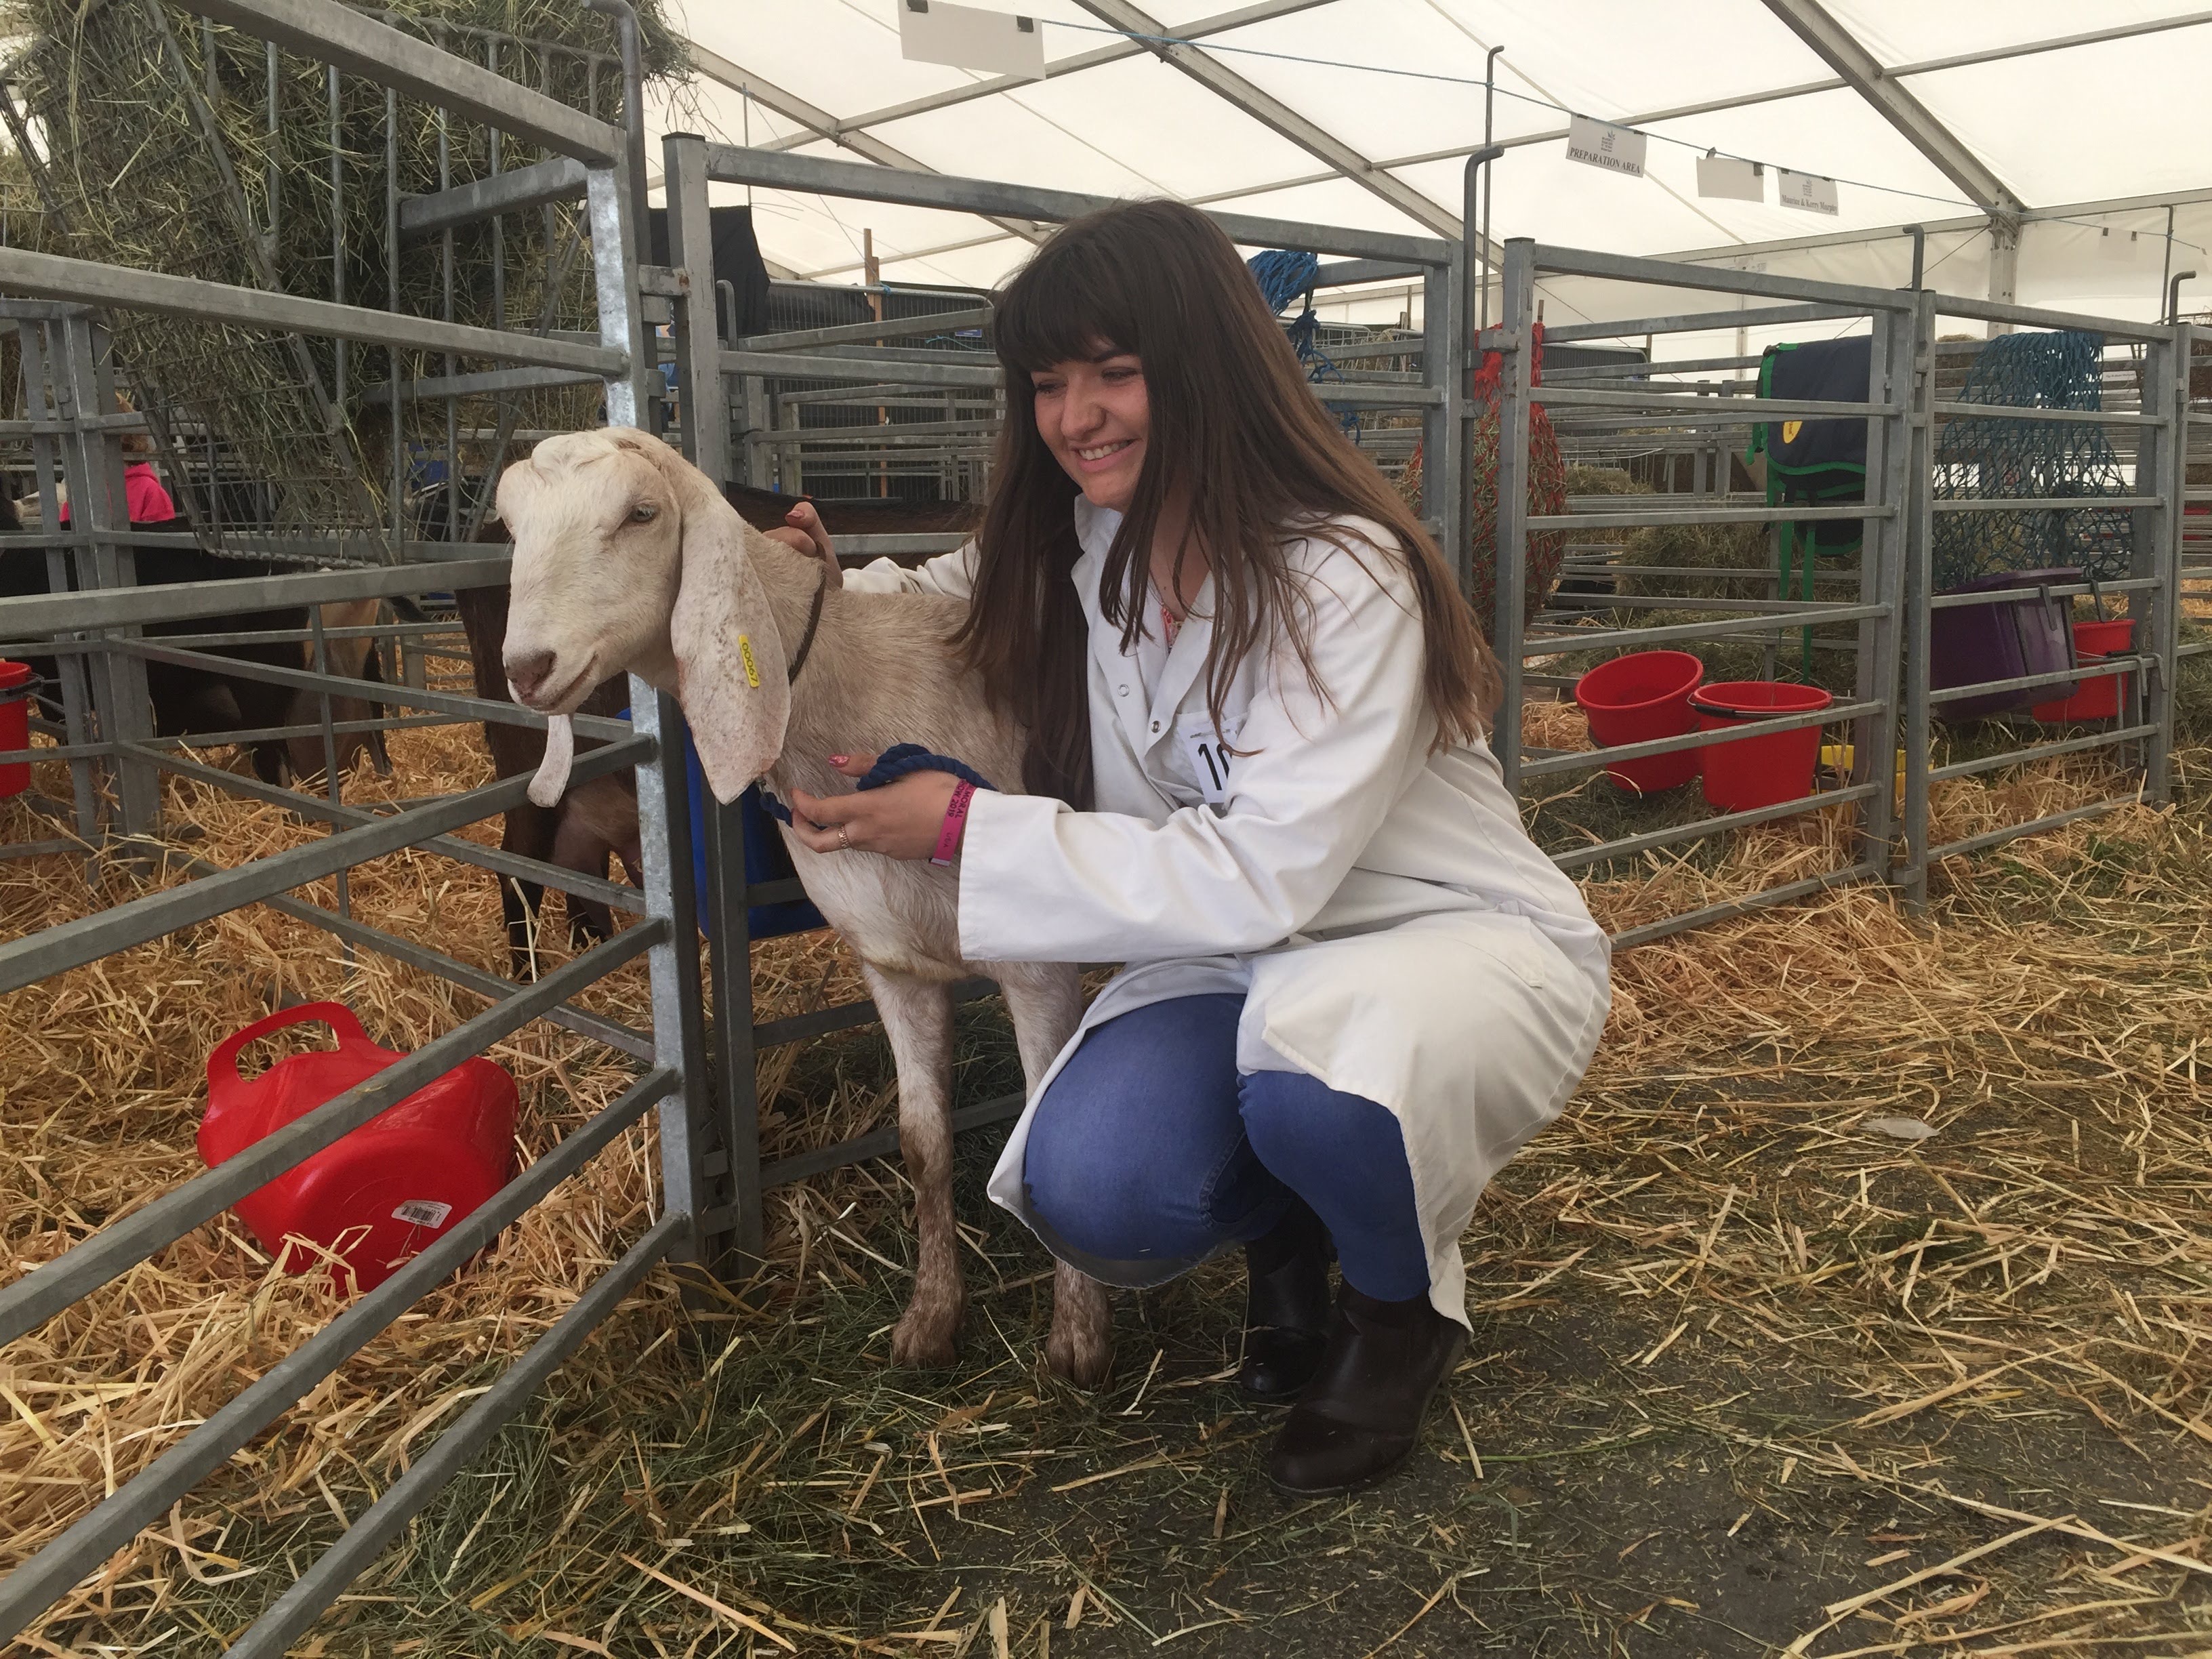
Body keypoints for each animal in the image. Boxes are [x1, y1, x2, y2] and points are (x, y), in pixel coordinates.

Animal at [487, 429, 1106, 1389]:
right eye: (509, 526)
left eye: (641, 513)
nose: (526, 669)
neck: (847, 696)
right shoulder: (891, 960)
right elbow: (921, 1139)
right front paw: (930, 1319)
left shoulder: (1040, 962)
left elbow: (1049, 1129)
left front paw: (1077, 1336)